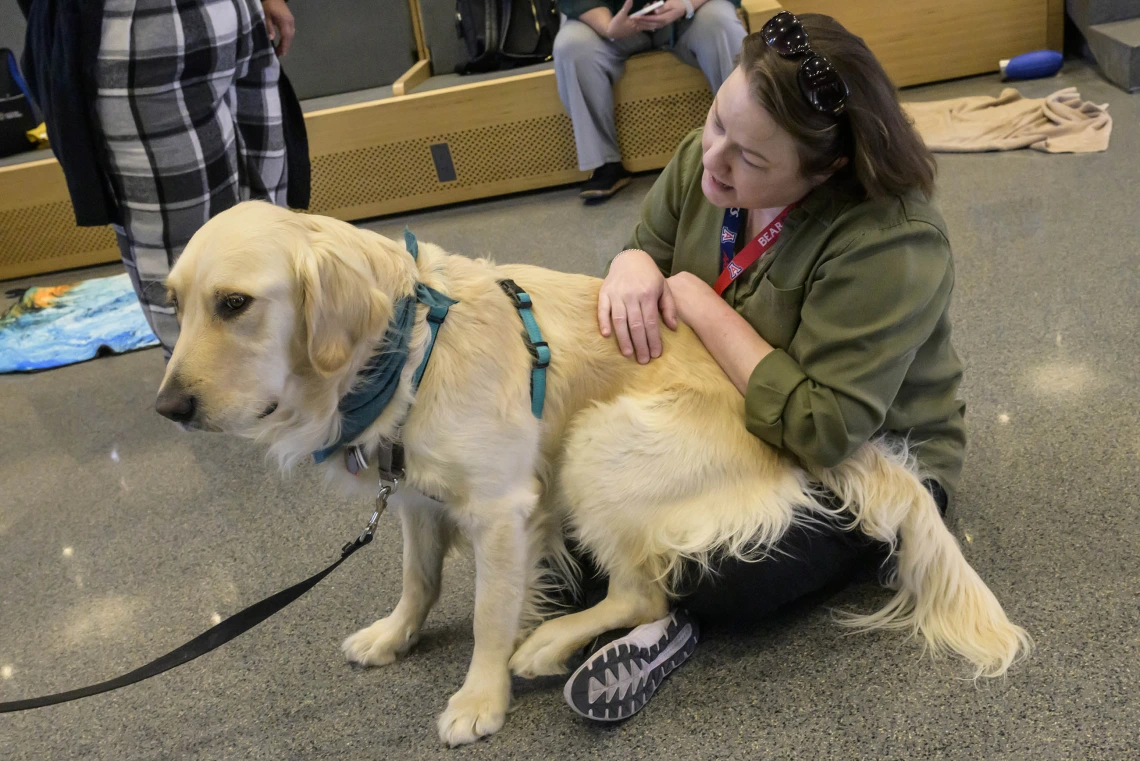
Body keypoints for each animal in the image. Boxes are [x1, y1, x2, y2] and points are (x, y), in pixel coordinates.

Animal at [158, 200, 1035, 742]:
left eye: (234, 303)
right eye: (173, 302)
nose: (168, 406)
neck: (410, 344)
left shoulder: (503, 507)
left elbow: (487, 613)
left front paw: (479, 698)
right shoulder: (412, 491)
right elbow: (419, 579)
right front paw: (394, 635)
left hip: (597, 438)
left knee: (648, 591)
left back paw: (550, 645)